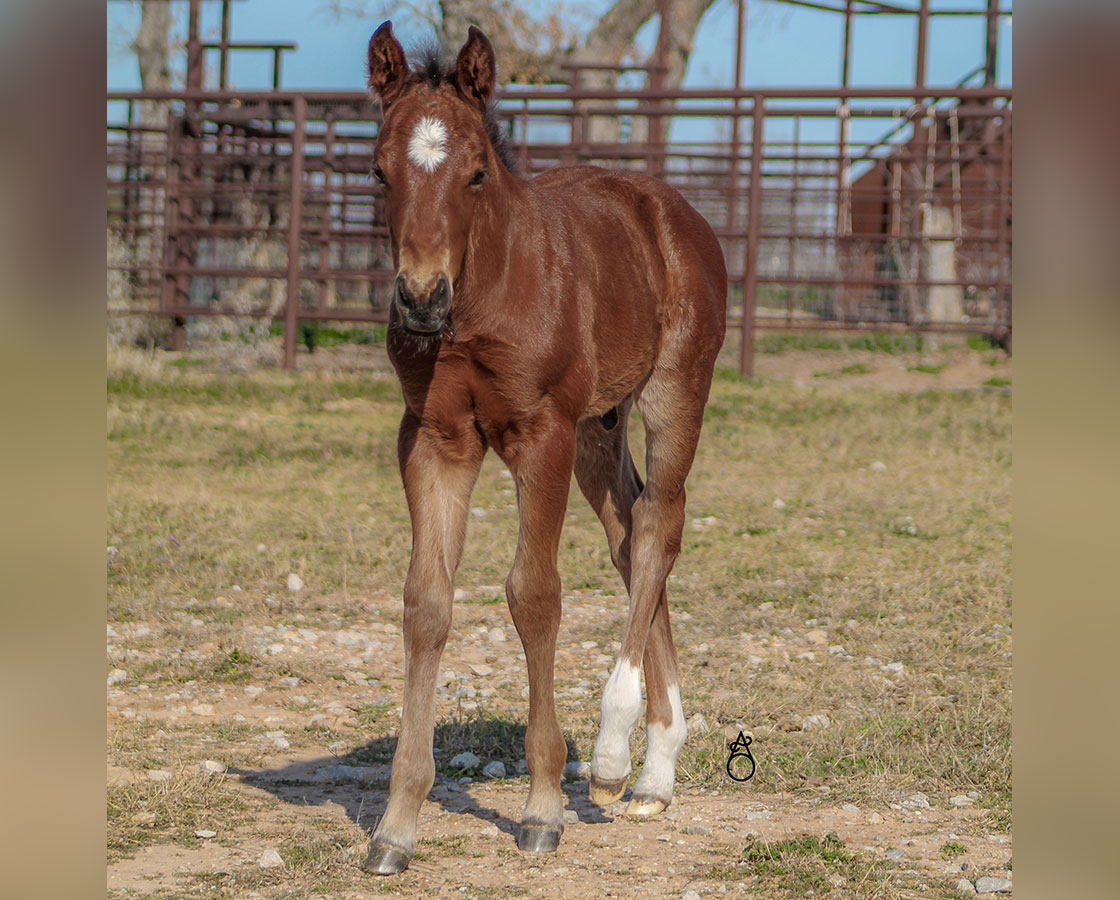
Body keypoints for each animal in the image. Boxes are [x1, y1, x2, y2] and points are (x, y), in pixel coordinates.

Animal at [362, 24, 730, 877]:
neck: (479, 303)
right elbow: (426, 604)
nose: (420, 298)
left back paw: (613, 753)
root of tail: (674, 211)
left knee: (661, 524)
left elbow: (534, 596)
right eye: (378, 170)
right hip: (601, 425)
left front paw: (541, 808)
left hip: (670, 394)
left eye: (474, 173)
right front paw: (397, 826)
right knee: (630, 535)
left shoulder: (542, 434)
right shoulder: (435, 439)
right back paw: (655, 770)